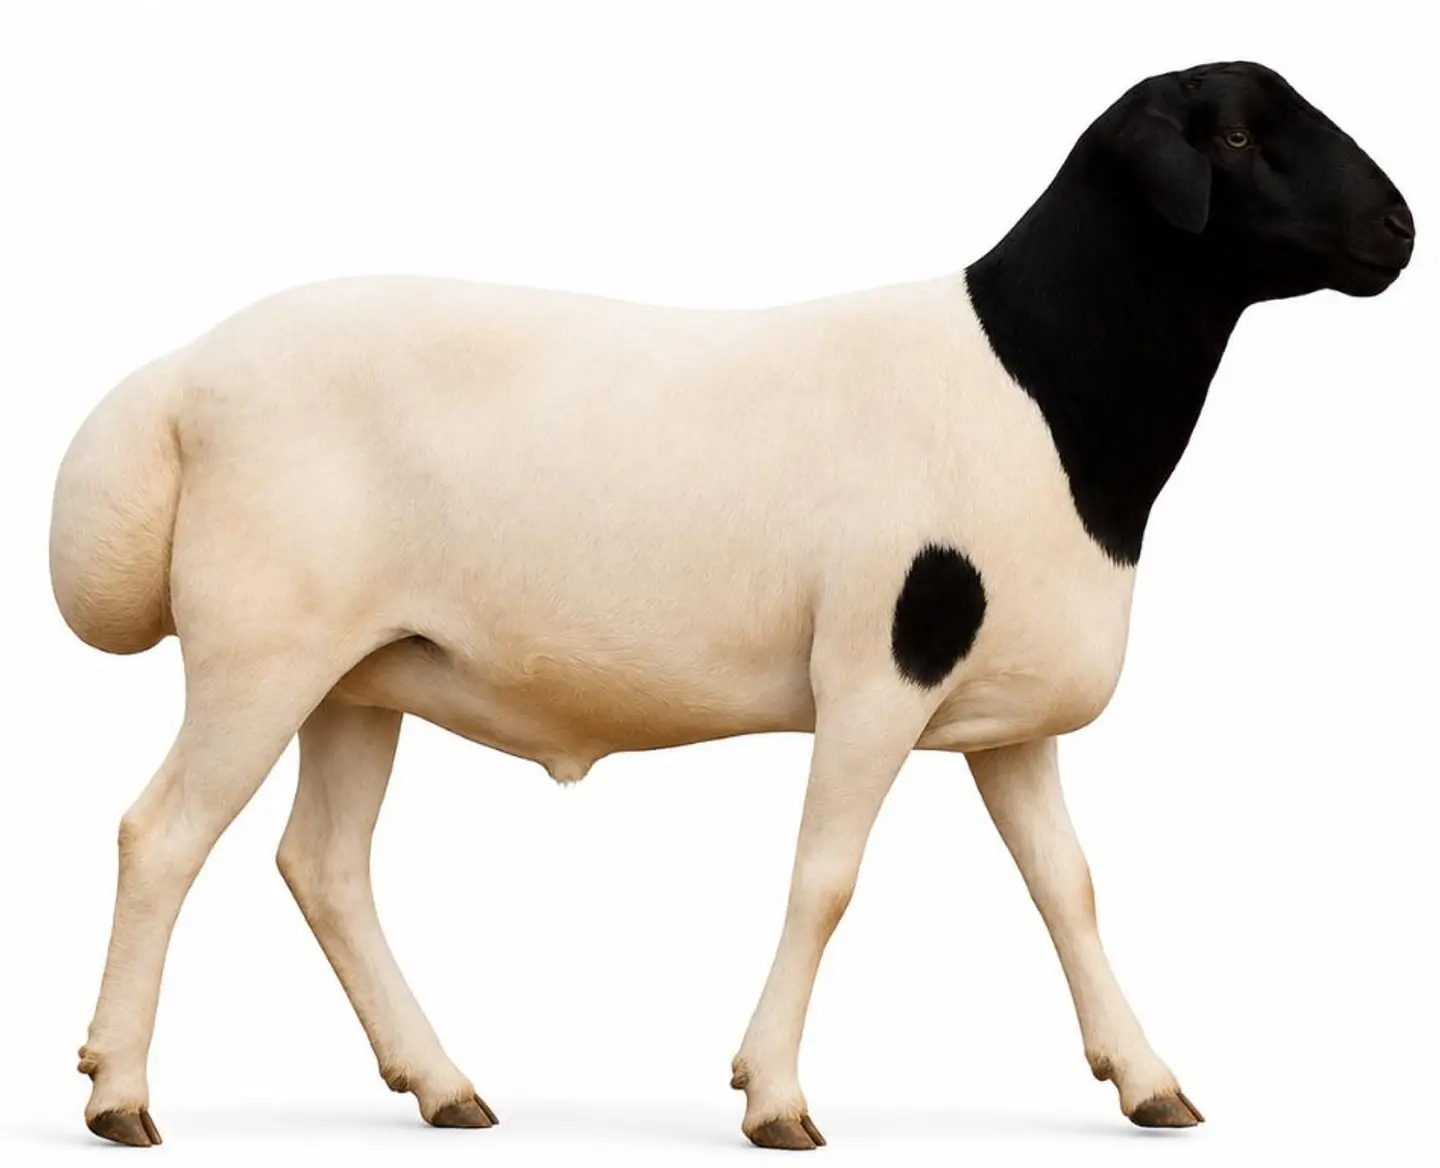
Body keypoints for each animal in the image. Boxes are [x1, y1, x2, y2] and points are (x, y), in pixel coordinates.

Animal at [49, 59, 1414, 1150]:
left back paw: (440, 1086)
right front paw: (776, 1098)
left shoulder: (1006, 714)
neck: (1043, 387)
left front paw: (1148, 1082)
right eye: (1230, 136)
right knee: (162, 836)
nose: (1401, 226)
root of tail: (177, 381)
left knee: (324, 865)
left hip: (359, 670)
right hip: (261, 647)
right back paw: (119, 1095)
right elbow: (826, 877)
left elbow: (1067, 887)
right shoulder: (877, 666)